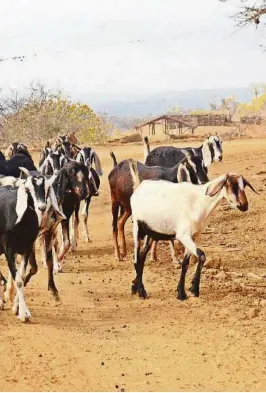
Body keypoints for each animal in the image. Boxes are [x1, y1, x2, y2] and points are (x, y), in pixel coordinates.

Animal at [129, 159, 258, 300]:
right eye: (231, 184)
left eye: (243, 185)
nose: (244, 205)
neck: (199, 201)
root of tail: (139, 187)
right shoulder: (183, 235)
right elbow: (201, 256)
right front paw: (193, 289)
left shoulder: (193, 236)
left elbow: (186, 264)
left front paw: (182, 291)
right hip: (137, 227)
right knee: (136, 258)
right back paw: (141, 291)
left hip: (152, 232)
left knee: (141, 257)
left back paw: (135, 287)